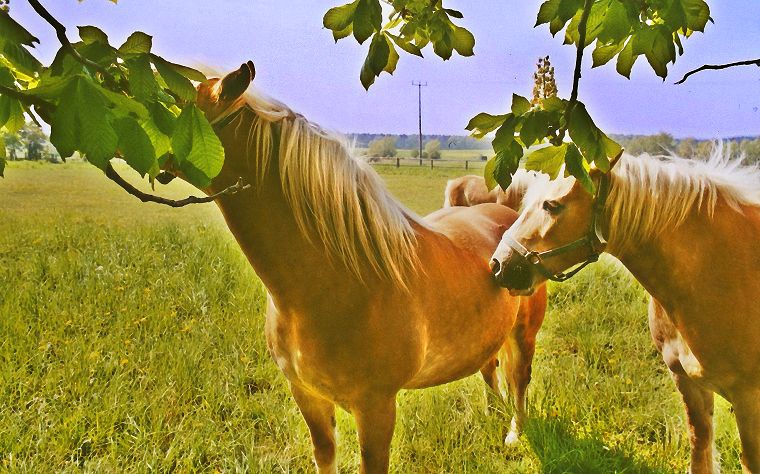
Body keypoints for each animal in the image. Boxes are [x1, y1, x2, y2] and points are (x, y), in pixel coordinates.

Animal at [187, 62, 530, 473]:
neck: (333, 282)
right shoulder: (308, 396)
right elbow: (324, 454)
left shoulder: (375, 408)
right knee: (490, 370)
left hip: (524, 334)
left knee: (519, 383)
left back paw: (513, 435)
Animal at [489, 149, 760, 473]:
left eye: (552, 205)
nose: (499, 264)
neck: (719, 267)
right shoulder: (689, 384)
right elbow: (700, 450)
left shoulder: (749, 399)